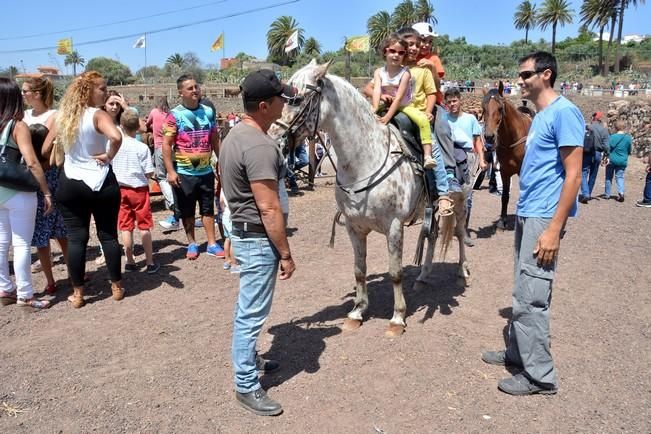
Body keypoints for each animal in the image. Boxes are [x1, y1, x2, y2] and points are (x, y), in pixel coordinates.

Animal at [482, 82, 532, 231]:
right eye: (483, 108)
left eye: (500, 108)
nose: (489, 136)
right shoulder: (504, 172)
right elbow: (504, 196)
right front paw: (502, 220)